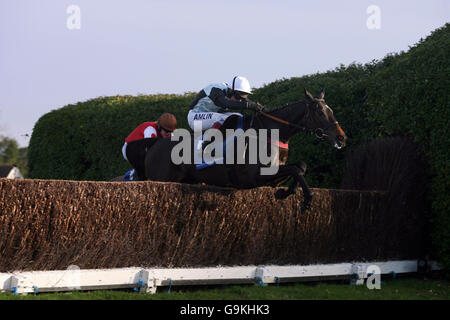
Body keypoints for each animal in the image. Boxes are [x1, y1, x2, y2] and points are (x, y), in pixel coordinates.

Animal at [142, 89, 346, 211]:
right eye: (320, 112)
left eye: (331, 111)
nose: (341, 138)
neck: (270, 131)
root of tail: (154, 146)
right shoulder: (255, 177)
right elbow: (296, 170)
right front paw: (307, 199)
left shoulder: (272, 177)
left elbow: (300, 167)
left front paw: (286, 192)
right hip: (161, 179)